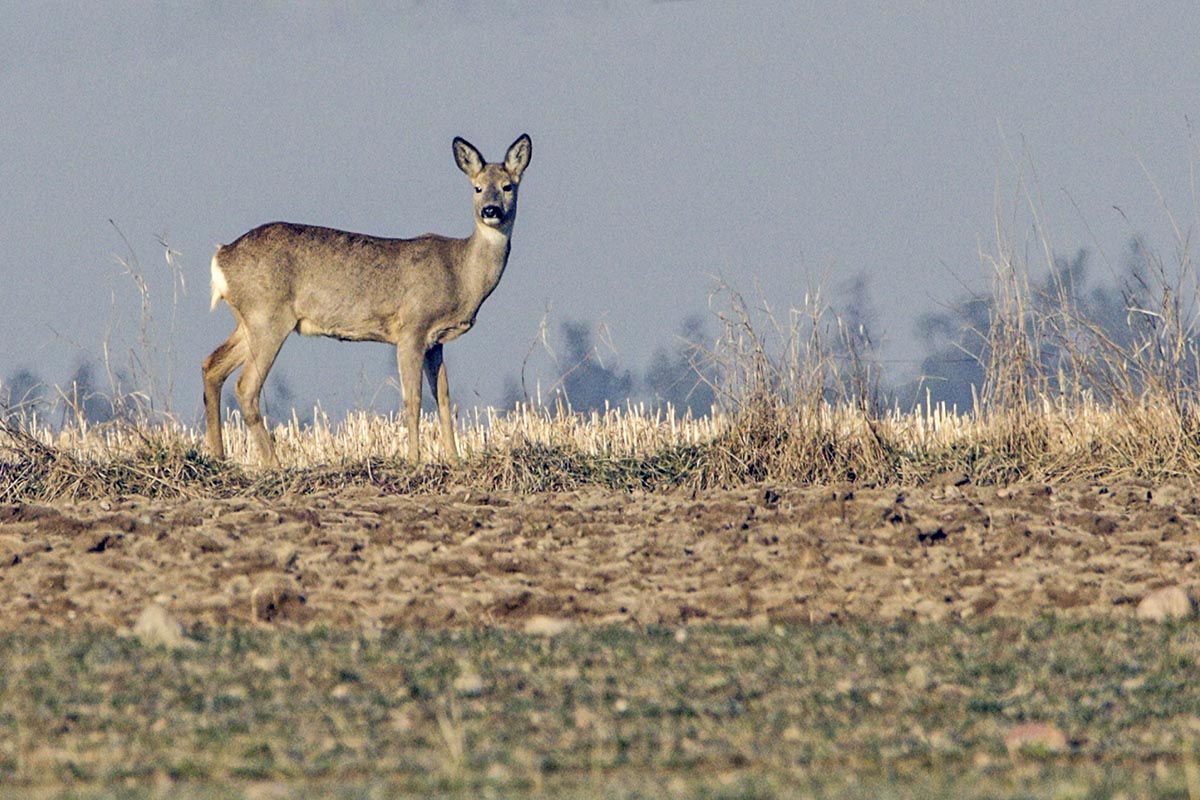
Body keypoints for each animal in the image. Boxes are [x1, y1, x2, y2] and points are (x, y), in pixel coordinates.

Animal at [204, 133, 532, 465]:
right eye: (477, 187)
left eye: (508, 186)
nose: (491, 211)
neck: (460, 272)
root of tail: (222, 257)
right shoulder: (412, 328)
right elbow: (413, 399)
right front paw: (413, 459)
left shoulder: (435, 340)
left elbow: (443, 398)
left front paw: (454, 459)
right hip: (268, 317)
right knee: (245, 387)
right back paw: (274, 464)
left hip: (249, 320)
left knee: (212, 365)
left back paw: (218, 456)